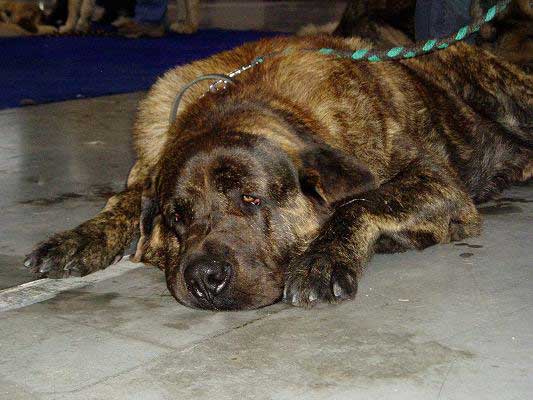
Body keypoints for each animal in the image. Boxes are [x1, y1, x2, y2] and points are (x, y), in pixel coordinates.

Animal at [25, 35, 532, 310]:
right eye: (176, 217)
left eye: (251, 198)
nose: (205, 278)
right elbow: (125, 199)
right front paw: (78, 239)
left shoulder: (440, 186)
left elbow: (362, 203)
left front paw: (323, 259)